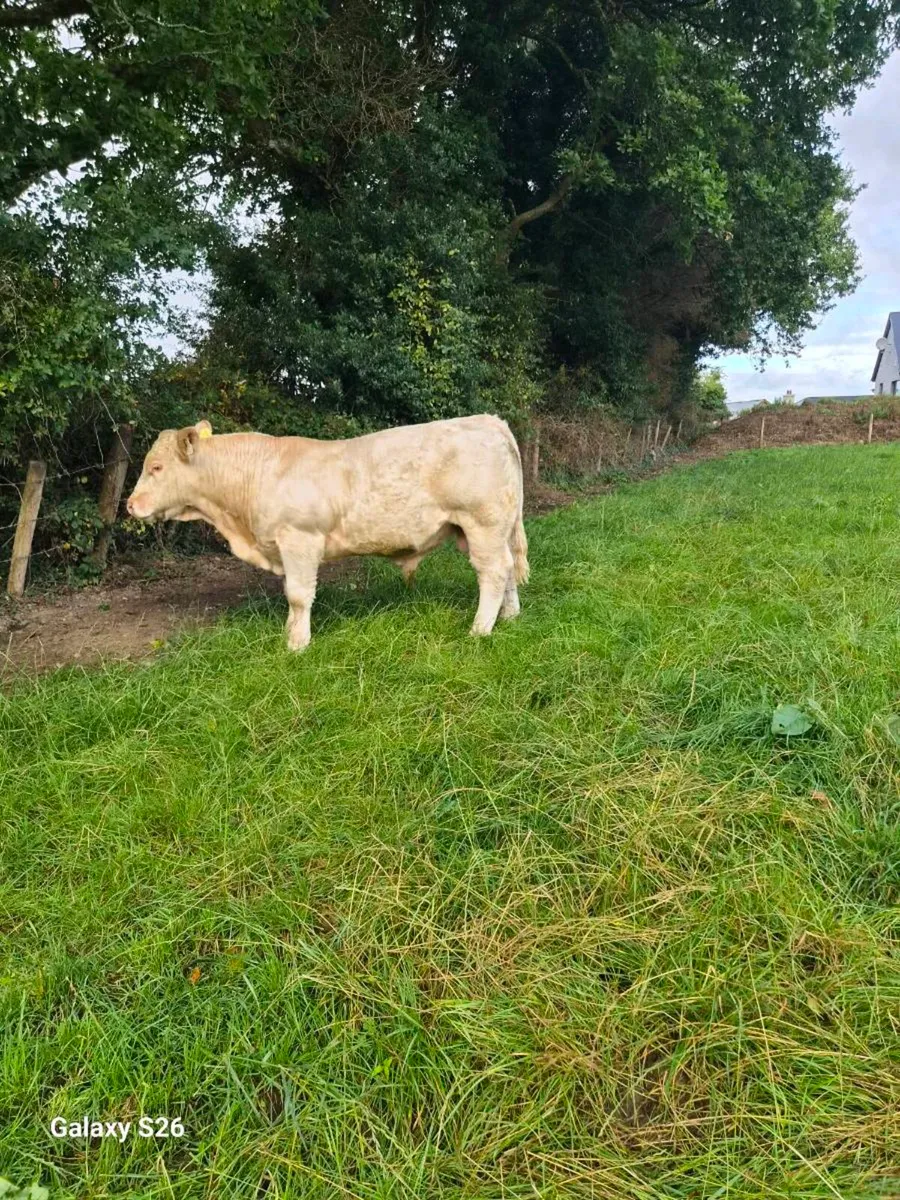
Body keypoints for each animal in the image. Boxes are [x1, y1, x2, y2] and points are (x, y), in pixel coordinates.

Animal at [126, 414, 529, 651]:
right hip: (488, 528)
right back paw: (509, 618)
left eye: (156, 467)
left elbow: (299, 595)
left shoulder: (300, 539)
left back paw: (480, 629)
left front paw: (297, 644)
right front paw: (290, 633)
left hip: (483, 522)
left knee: (493, 572)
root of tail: (489, 419)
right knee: (508, 567)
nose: (130, 505)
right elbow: (292, 595)